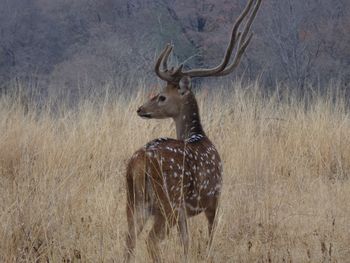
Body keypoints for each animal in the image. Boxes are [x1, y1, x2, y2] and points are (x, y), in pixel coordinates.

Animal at [124, 1, 262, 262]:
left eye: (161, 96)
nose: (140, 109)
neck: (199, 136)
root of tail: (140, 161)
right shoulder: (214, 197)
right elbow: (209, 239)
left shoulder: (184, 213)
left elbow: (186, 242)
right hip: (167, 201)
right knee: (151, 240)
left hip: (134, 202)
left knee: (129, 240)